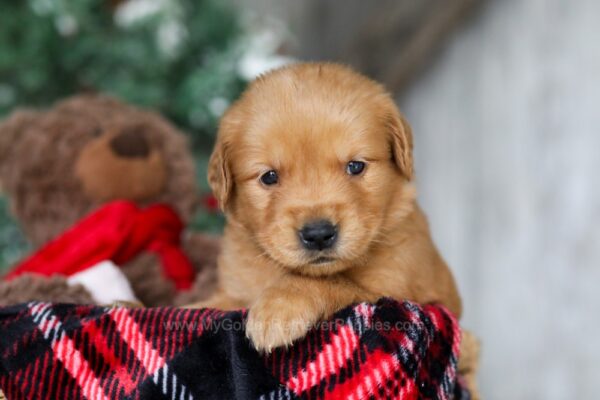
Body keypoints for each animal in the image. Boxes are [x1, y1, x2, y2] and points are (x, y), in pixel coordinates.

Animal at [195, 61, 462, 352]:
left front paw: (280, 307)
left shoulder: (397, 293)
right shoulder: (234, 288)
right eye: (269, 176)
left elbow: (333, 283)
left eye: (355, 166)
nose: (318, 234)